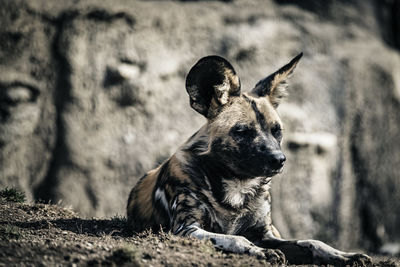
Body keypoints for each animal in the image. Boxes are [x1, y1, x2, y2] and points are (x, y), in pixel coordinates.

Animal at [126, 54, 372, 266]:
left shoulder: (265, 233)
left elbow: (313, 242)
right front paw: (261, 252)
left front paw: (345, 255)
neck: (237, 185)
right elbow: (237, 239)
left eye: (276, 131)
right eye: (243, 131)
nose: (279, 159)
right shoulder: (187, 230)